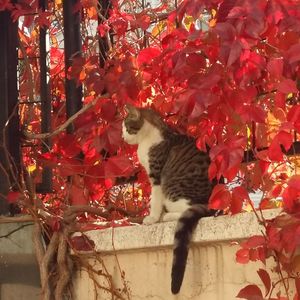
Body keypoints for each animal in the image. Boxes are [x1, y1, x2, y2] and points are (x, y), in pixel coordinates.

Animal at [122, 104, 218, 294]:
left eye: (127, 127)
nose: (123, 137)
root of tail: (210, 201)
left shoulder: (156, 176)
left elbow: (155, 200)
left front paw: (152, 218)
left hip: (173, 189)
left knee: (185, 208)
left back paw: (166, 216)